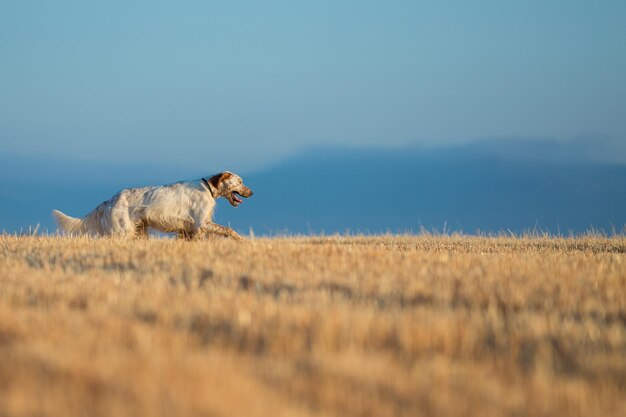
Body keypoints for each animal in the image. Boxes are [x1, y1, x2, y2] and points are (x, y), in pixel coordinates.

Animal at [51, 171, 251, 239]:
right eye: (240, 182)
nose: (252, 192)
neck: (208, 187)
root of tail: (109, 201)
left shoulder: (189, 228)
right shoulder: (201, 223)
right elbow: (229, 230)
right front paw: (241, 241)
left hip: (139, 231)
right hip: (123, 231)